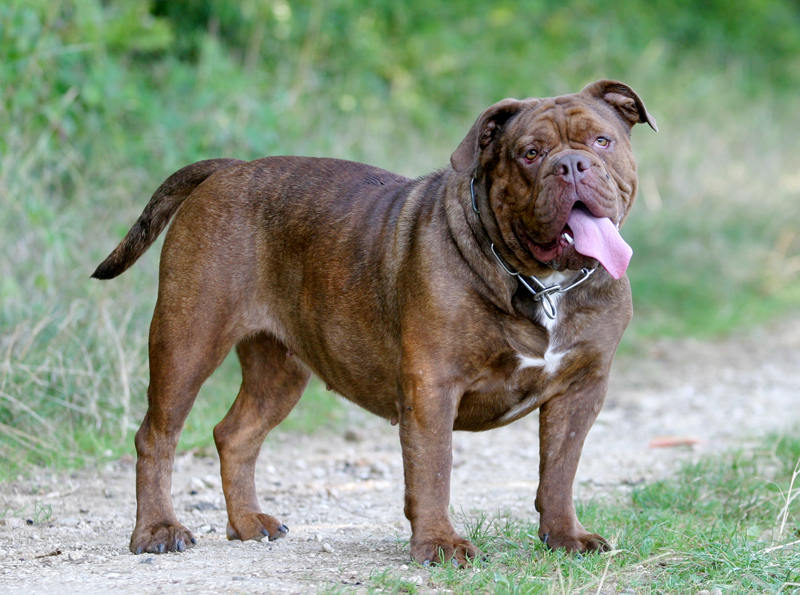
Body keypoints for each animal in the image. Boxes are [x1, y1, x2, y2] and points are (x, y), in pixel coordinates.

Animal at [94, 80, 656, 568]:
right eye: (531, 153)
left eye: (602, 141)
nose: (572, 164)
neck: (542, 283)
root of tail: (228, 169)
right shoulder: (433, 386)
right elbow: (434, 469)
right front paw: (439, 543)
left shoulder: (581, 389)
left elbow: (559, 471)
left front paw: (564, 537)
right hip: (187, 340)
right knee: (156, 436)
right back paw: (156, 531)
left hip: (280, 371)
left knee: (235, 434)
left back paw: (248, 523)